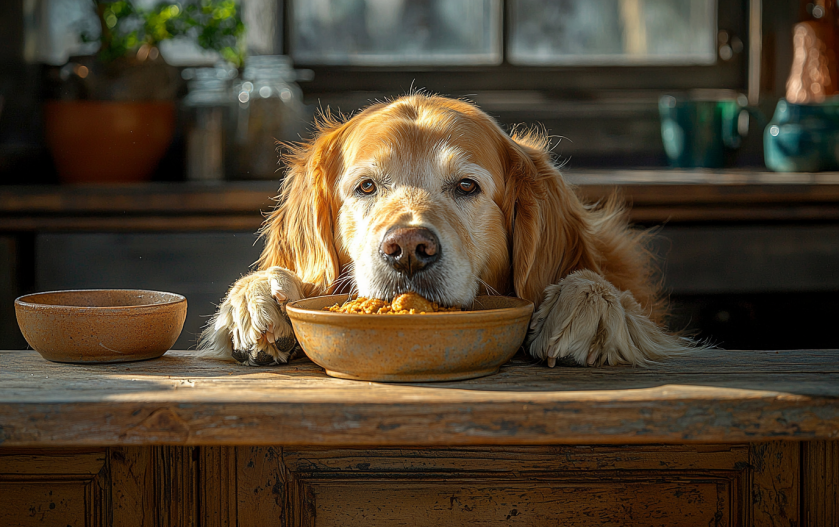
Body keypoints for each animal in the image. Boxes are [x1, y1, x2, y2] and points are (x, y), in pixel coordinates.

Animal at [199, 94, 688, 368]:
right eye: (366, 186)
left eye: (467, 186)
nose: (408, 248)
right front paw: (257, 299)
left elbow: (600, 290)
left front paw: (586, 307)